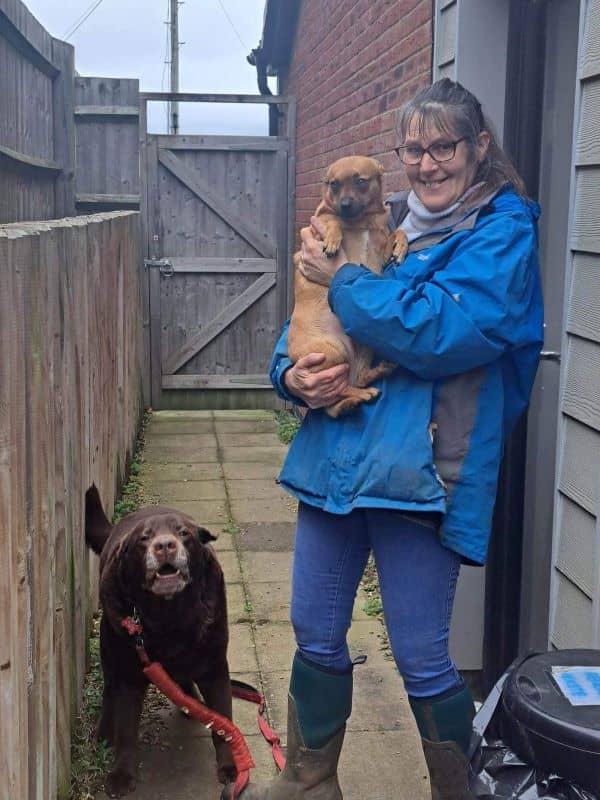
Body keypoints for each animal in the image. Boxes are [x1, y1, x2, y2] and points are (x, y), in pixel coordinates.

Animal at [288, 155, 408, 418]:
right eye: (333, 184)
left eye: (360, 181)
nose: (343, 204)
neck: (362, 221)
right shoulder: (317, 226)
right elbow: (332, 219)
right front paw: (333, 239)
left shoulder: (381, 251)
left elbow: (399, 231)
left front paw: (402, 246)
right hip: (333, 352)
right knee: (336, 391)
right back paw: (359, 396)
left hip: (364, 346)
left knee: (355, 381)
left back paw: (375, 377)